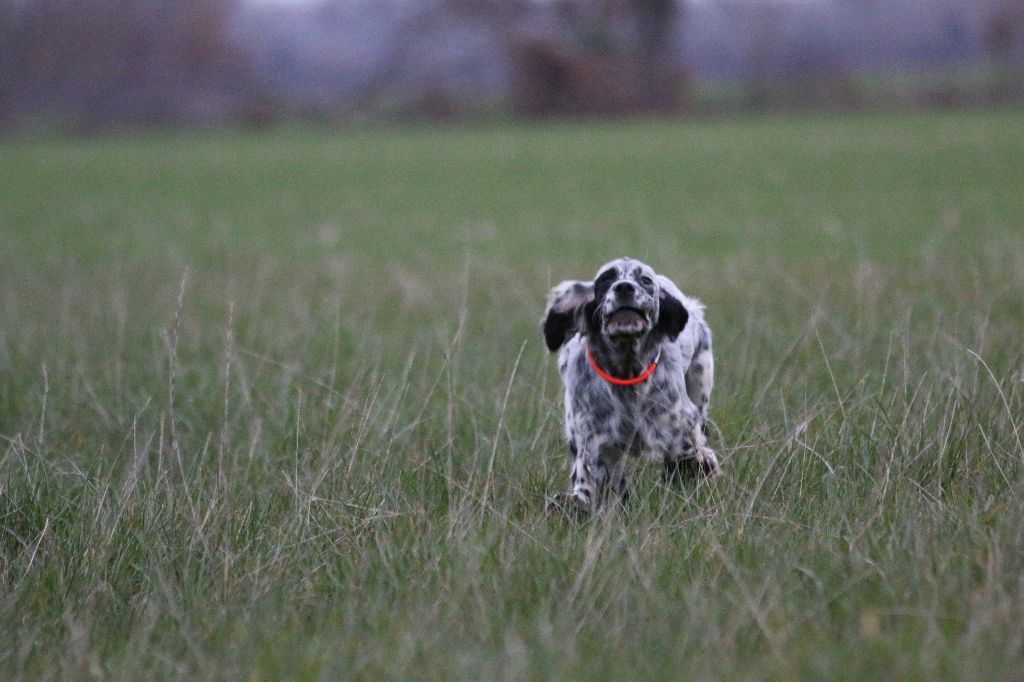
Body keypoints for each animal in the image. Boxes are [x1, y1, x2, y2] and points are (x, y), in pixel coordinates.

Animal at [544, 258, 720, 507]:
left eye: (645, 280)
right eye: (606, 279)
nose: (624, 287)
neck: (626, 372)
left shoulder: (680, 428)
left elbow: (693, 456)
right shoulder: (594, 439)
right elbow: (587, 478)